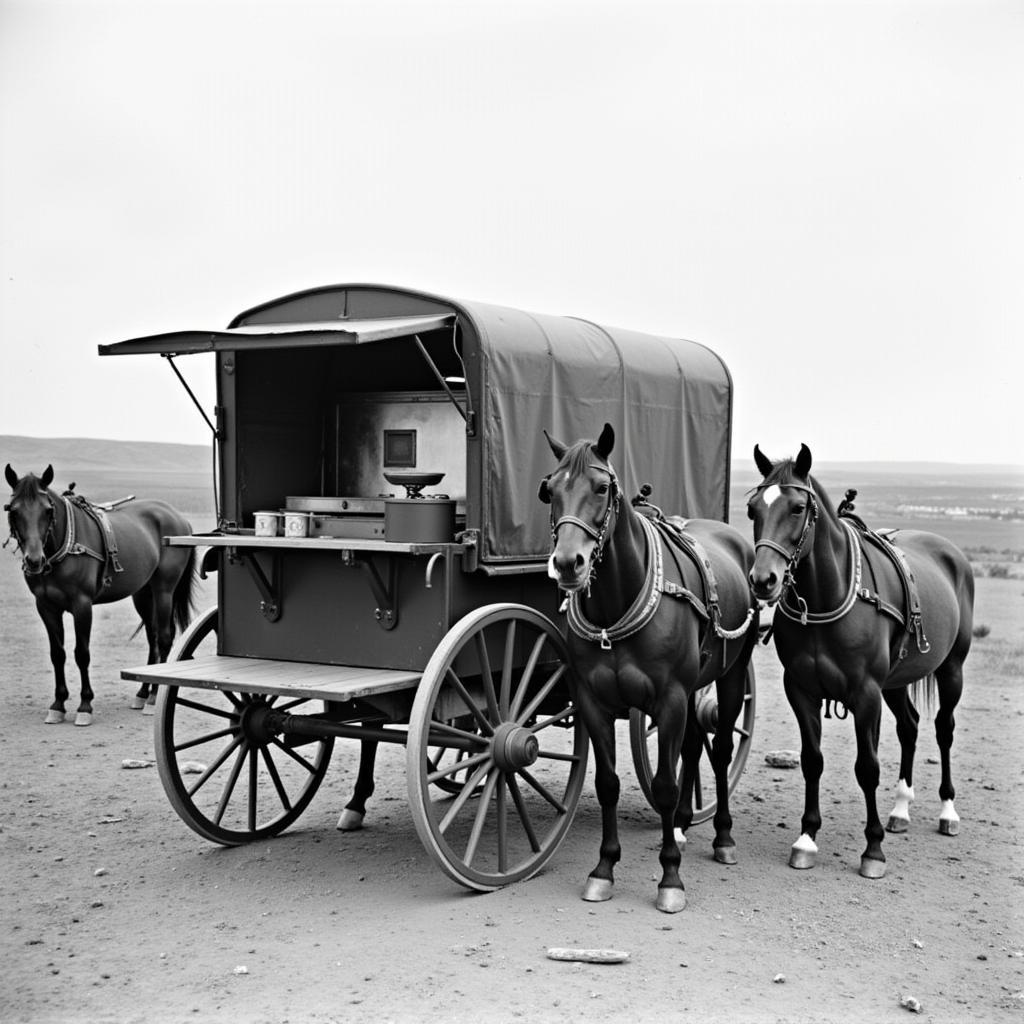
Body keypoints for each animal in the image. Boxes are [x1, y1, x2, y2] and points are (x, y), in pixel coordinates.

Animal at [4, 464, 196, 729]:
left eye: (48, 510)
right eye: (13, 510)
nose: (34, 560)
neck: (64, 543)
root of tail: (178, 517)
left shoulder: (82, 605)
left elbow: (82, 654)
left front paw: (85, 705)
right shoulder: (45, 606)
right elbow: (57, 654)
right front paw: (58, 704)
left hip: (164, 589)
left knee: (165, 638)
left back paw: (154, 697)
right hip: (143, 594)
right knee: (153, 638)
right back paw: (143, 693)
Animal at [544, 423, 761, 913]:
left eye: (601, 487)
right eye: (550, 490)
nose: (567, 563)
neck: (616, 605)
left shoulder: (671, 700)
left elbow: (663, 784)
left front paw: (670, 877)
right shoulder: (593, 701)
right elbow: (607, 783)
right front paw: (603, 869)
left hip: (729, 676)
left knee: (719, 748)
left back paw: (722, 836)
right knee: (694, 745)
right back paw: (680, 822)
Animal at [745, 444, 974, 876]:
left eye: (798, 507)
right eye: (752, 510)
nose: (763, 580)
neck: (827, 597)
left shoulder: (865, 693)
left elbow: (867, 768)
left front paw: (873, 849)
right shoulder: (800, 690)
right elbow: (811, 761)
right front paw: (807, 838)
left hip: (951, 669)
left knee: (944, 729)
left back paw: (948, 811)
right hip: (897, 681)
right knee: (910, 727)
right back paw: (900, 810)